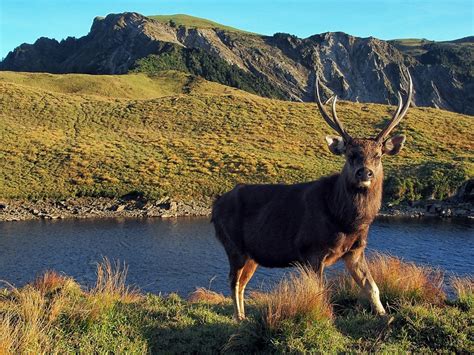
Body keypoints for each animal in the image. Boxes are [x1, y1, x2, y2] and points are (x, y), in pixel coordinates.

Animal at [213, 71, 412, 322]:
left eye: (378, 155)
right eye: (350, 155)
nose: (364, 172)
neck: (346, 221)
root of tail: (214, 207)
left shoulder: (356, 250)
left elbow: (372, 287)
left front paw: (385, 315)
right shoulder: (311, 250)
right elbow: (321, 292)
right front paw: (326, 319)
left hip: (252, 255)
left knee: (241, 283)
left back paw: (244, 316)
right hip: (234, 245)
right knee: (233, 281)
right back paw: (239, 318)